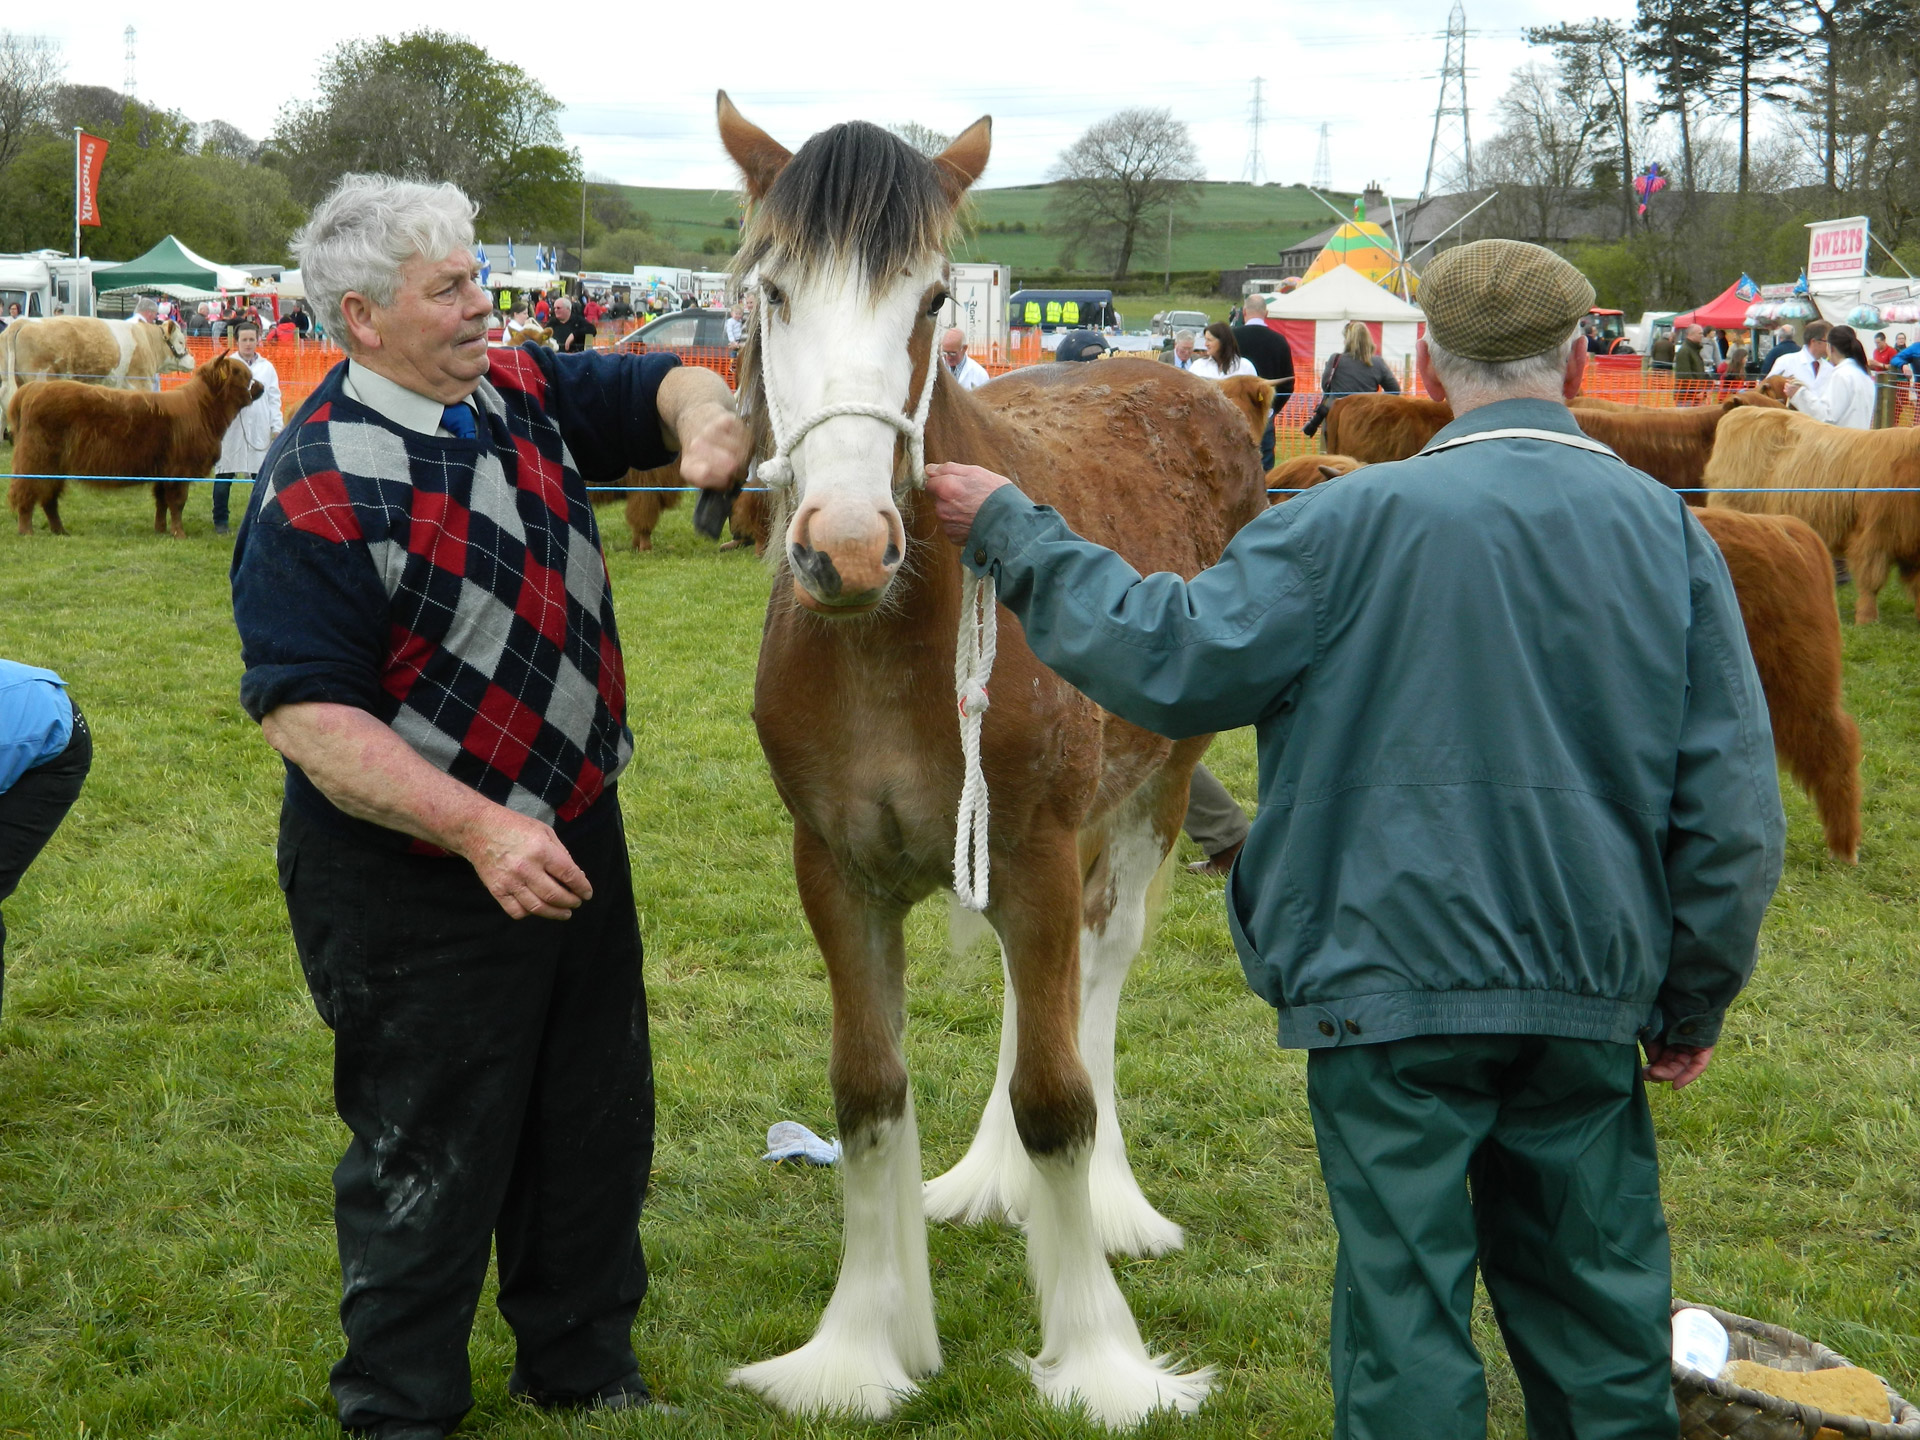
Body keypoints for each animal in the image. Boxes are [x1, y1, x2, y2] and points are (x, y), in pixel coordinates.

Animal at [9, 357, 263, 541]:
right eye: (243, 374)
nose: (259, 385)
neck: (202, 411)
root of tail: (33, 388)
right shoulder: (179, 470)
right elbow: (177, 502)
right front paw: (179, 533)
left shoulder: (164, 471)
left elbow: (161, 501)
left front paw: (161, 530)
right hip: (36, 459)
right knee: (26, 492)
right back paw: (26, 531)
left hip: (54, 466)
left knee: (49, 498)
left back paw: (60, 531)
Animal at [714, 98, 1267, 1436]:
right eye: (773, 294)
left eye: (926, 300)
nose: (847, 546)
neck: (888, 637)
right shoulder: (839, 875)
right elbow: (867, 1094)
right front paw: (859, 1352)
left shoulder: (1036, 853)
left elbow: (1060, 1098)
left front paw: (1102, 1363)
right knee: (1036, 1003)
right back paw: (985, 1183)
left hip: (1143, 803)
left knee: (1097, 980)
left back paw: (1109, 1210)